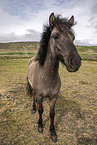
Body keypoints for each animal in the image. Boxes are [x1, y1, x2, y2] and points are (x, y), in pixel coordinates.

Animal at [26, 12, 81, 142]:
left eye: (73, 38)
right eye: (55, 36)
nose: (76, 62)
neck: (47, 77)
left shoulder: (54, 97)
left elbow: (52, 114)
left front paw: (52, 133)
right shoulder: (40, 96)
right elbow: (41, 110)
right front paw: (40, 126)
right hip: (32, 87)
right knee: (33, 98)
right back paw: (33, 108)